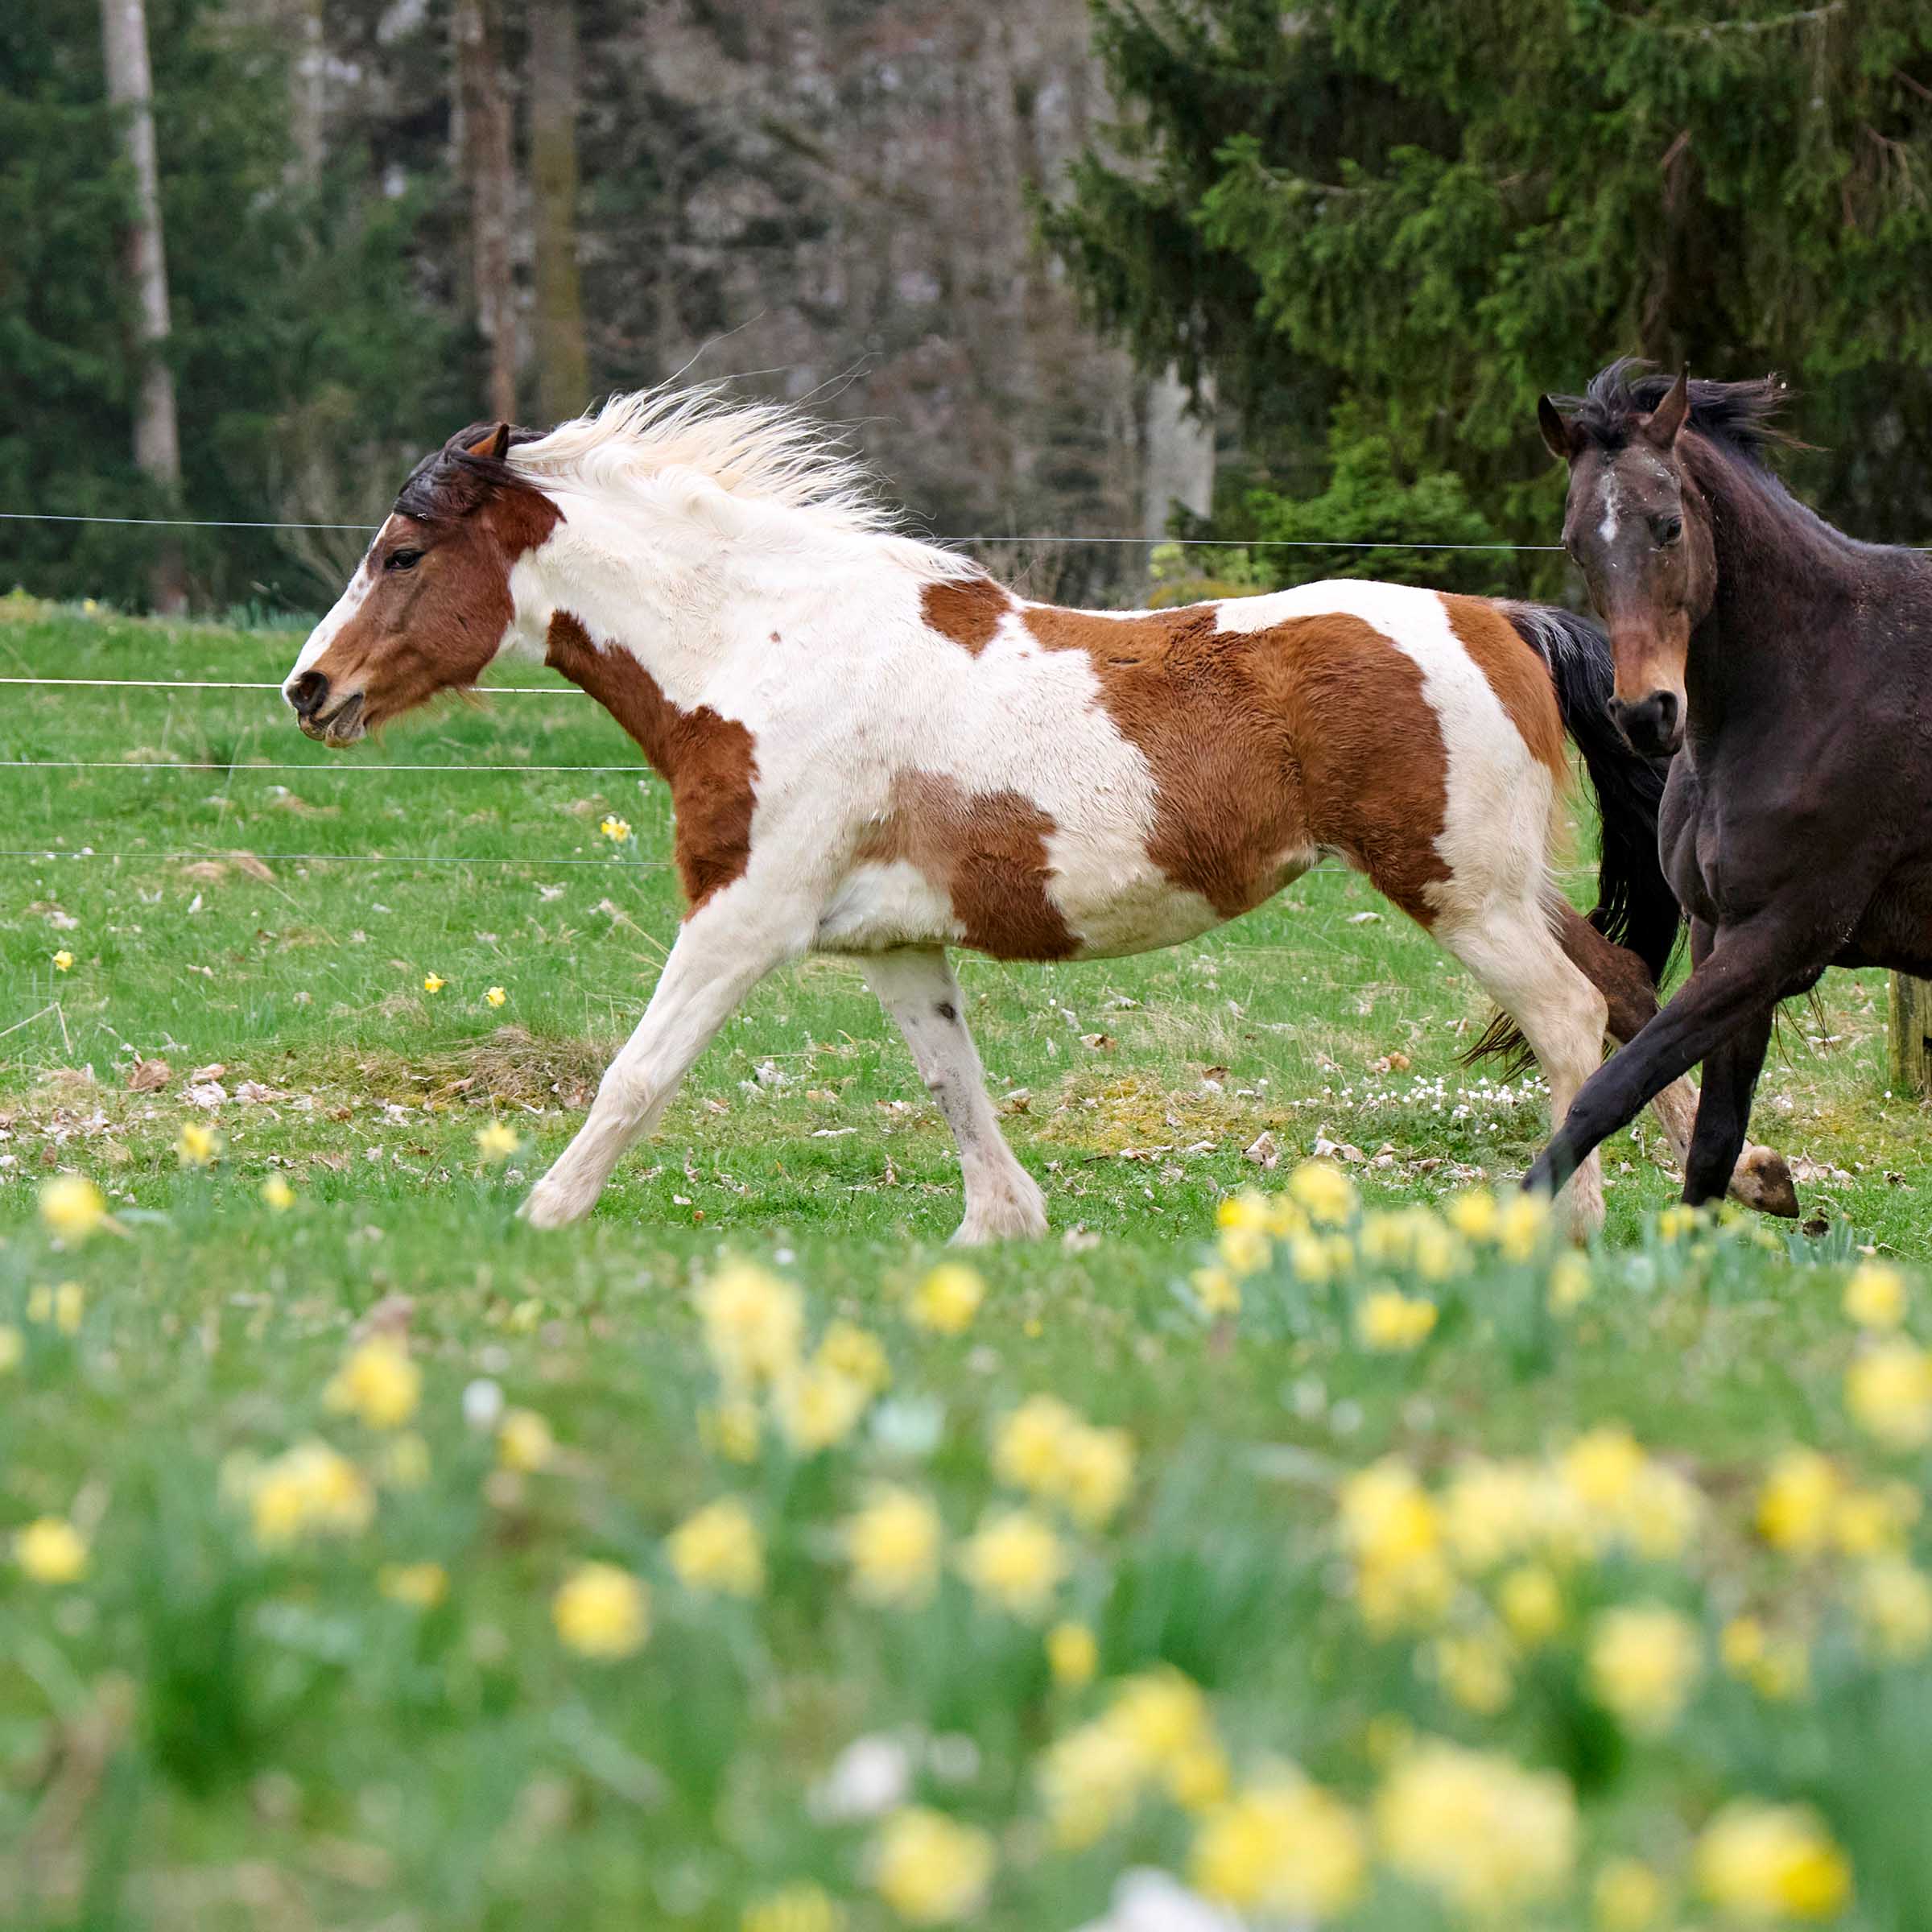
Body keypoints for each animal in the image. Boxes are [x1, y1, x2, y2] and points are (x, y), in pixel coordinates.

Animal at [279, 387, 1793, 1238]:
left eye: (402, 554)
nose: (310, 687)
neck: (764, 647)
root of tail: (1504, 620)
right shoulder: (893, 944)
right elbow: (954, 1083)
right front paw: (1001, 1229)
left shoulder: (743, 918)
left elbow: (638, 1074)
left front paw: (537, 1215)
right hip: (1501, 886)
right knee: (1626, 994)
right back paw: (1753, 1182)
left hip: (1457, 893)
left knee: (1568, 1016)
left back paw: (1574, 1222)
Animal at [1526, 360, 1932, 1208]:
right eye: (1575, 546)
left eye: (1669, 527)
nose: (1646, 713)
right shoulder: (1724, 933)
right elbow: (1714, 1141)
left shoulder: (1780, 937)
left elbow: (1610, 1091)